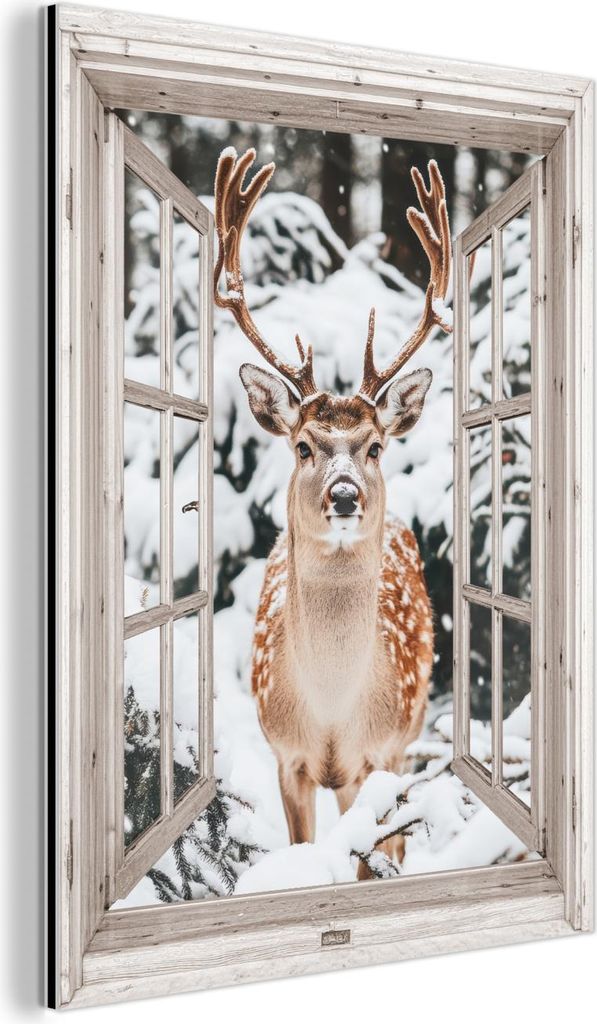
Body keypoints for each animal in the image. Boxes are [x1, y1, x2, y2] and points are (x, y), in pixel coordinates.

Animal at [214, 146, 453, 874]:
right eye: (301, 446)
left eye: (374, 446)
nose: (344, 494)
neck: (327, 715)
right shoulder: (284, 756)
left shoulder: (377, 756)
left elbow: (370, 857)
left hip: (410, 734)